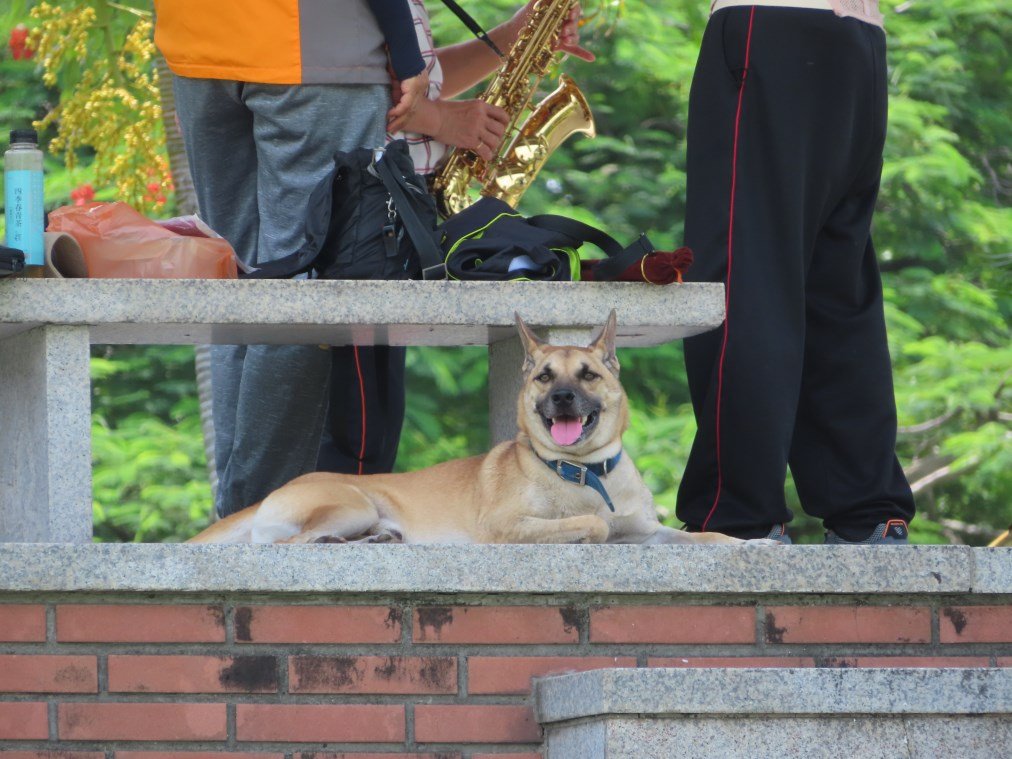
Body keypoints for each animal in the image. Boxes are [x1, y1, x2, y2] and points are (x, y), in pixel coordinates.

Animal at [190, 311, 769, 550]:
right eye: (543, 376)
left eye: (587, 375)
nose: (561, 399)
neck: (585, 471)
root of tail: (274, 493)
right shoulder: (506, 525)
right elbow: (593, 524)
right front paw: (592, 526)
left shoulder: (653, 531)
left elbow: (708, 537)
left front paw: (753, 542)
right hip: (350, 504)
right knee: (284, 544)